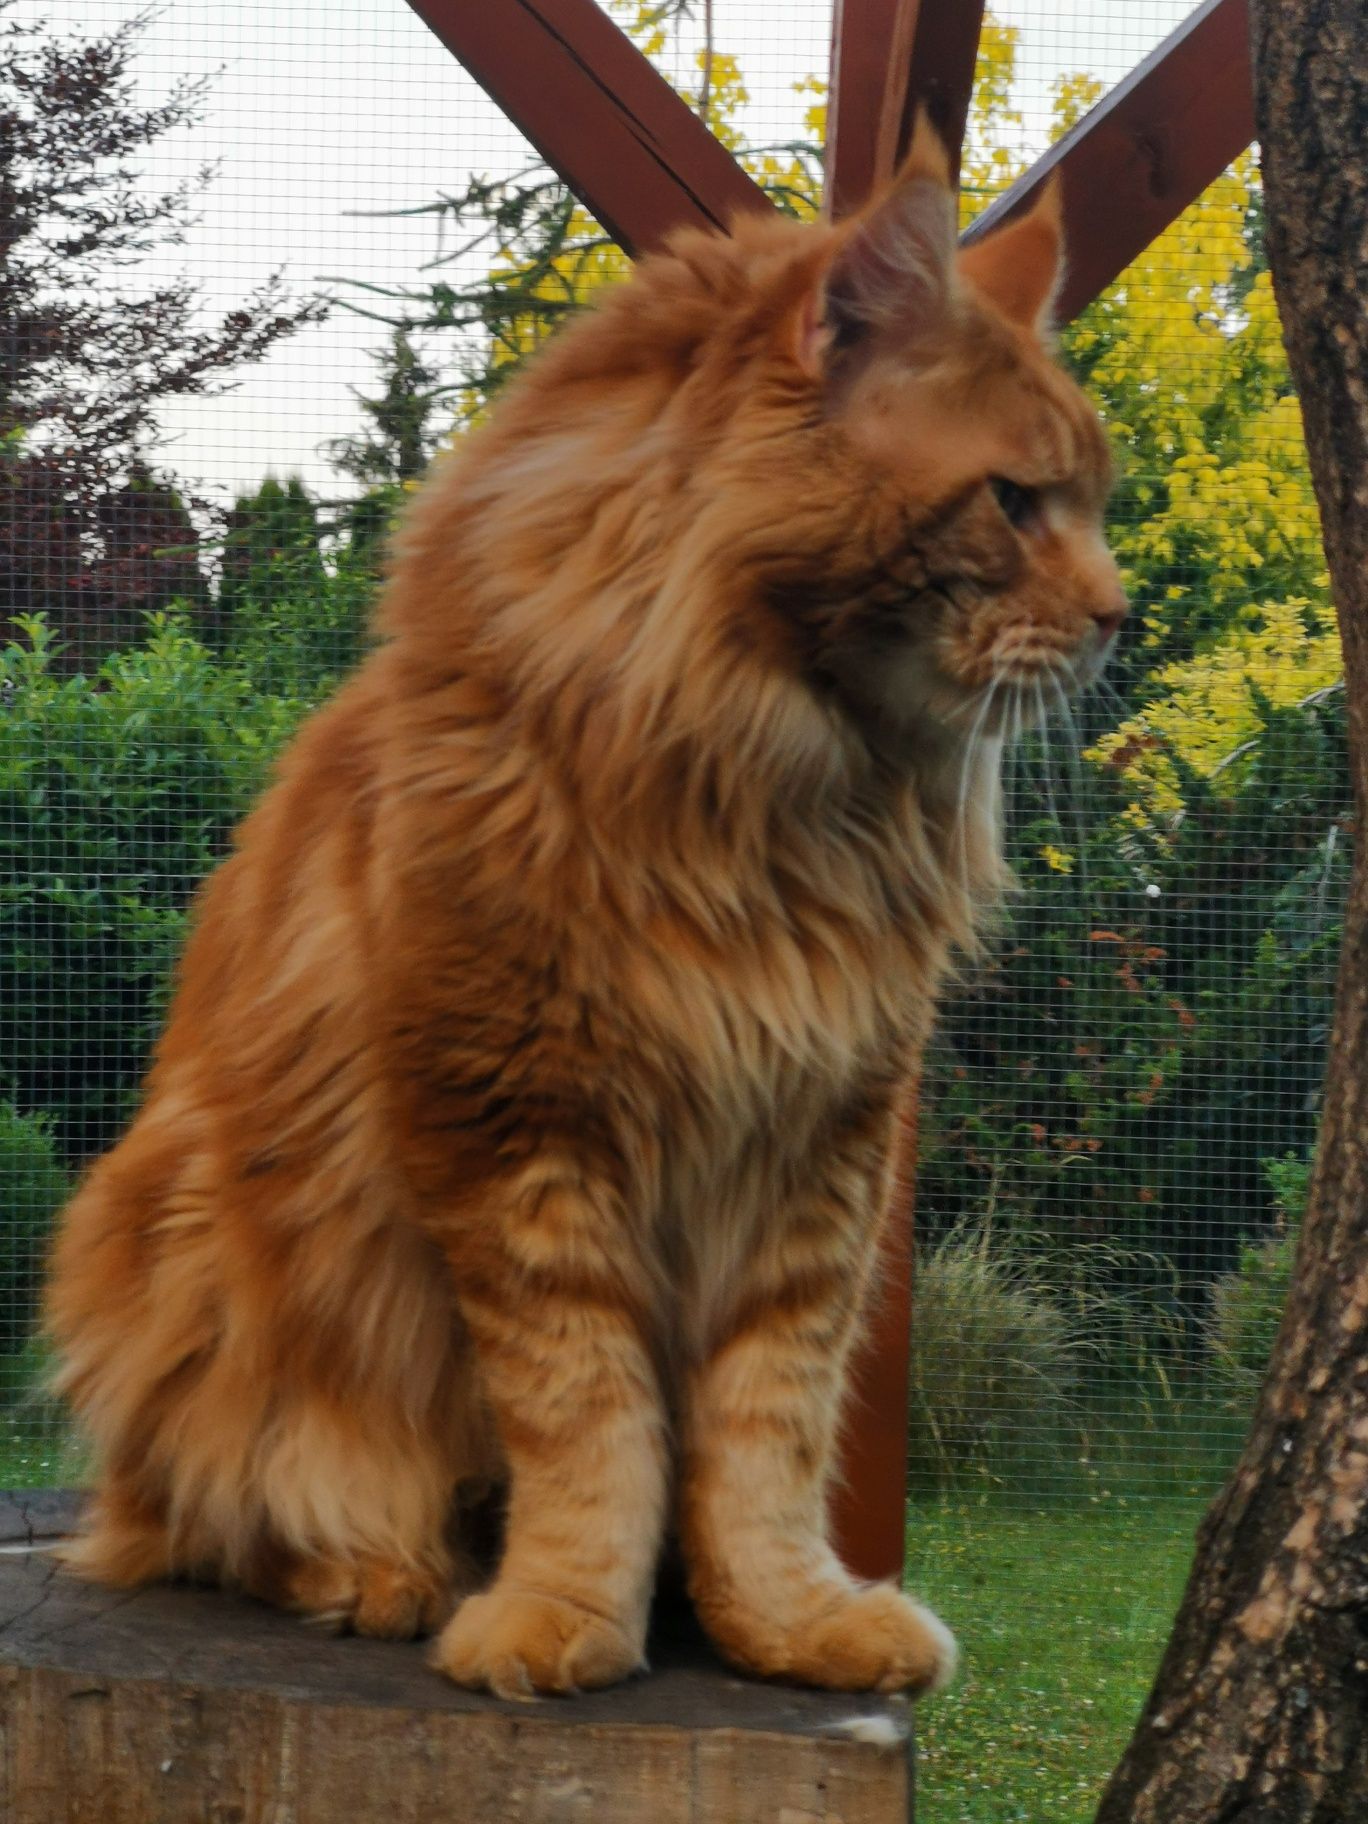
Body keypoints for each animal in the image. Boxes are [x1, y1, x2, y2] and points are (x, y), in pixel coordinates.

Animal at [50, 124, 1123, 1692]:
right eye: (1016, 501)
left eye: (1092, 506)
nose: (1119, 614)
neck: (772, 793)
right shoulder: (515, 1128)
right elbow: (590, 1418)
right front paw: (563, 1613)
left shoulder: (820, 1152)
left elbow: (764, 1435)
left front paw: (781, 1621)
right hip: (183, 1230)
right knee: (220, 1506)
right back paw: (377, 1571)